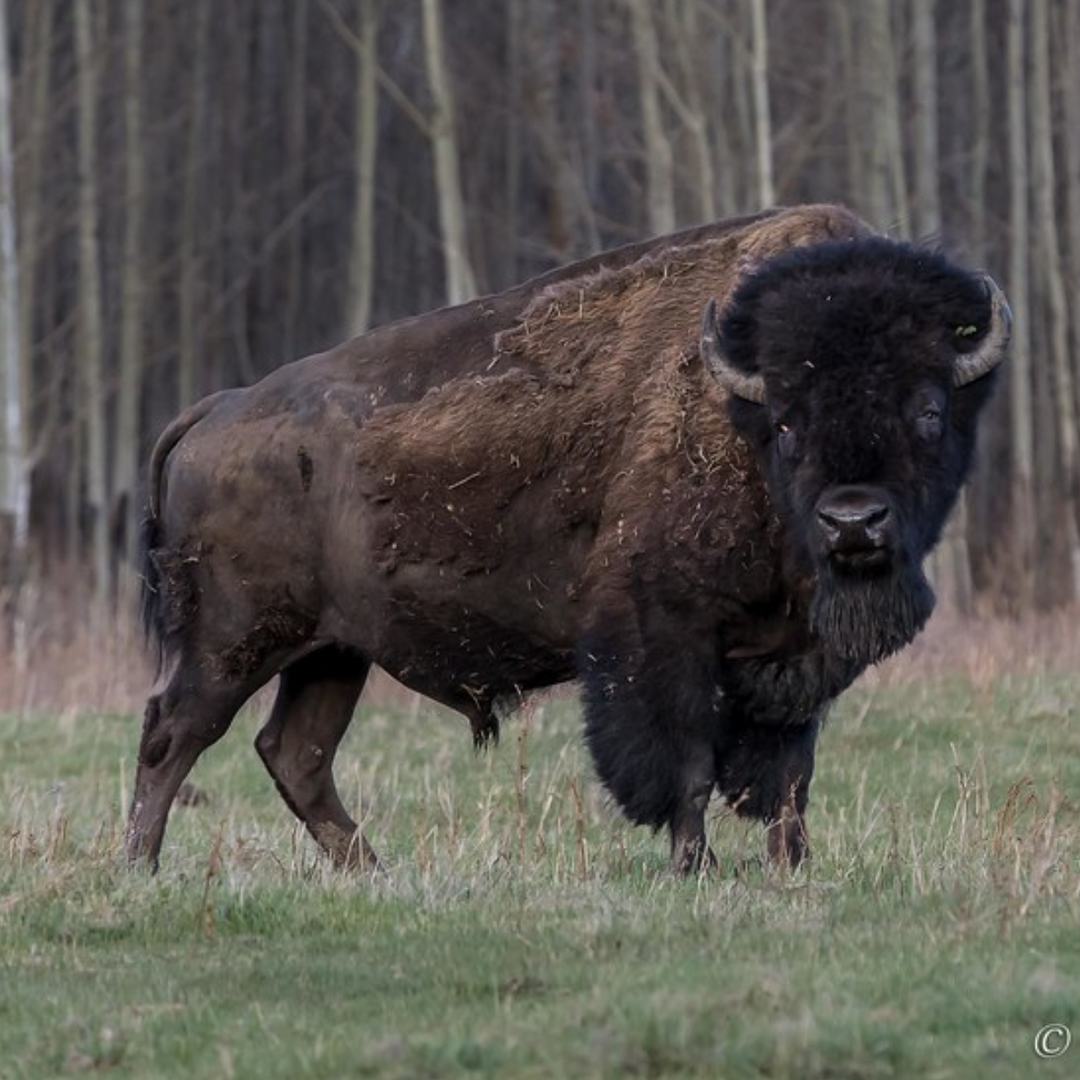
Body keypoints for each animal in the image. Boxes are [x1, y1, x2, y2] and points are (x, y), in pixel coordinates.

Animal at [127, 204, 1009, 876]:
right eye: (788, 421)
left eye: (929, 409)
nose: (853, 519)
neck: (738, 410)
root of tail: (216, 410)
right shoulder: (662, 636)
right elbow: (687, 762)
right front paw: (695, 868)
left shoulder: (795, 662)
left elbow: (789, 776)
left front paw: (794, 868)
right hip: (233, 642)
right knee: (174, 733)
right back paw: (142, 867)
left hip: (332, 653)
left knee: (296, 753)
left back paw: (372, 871)